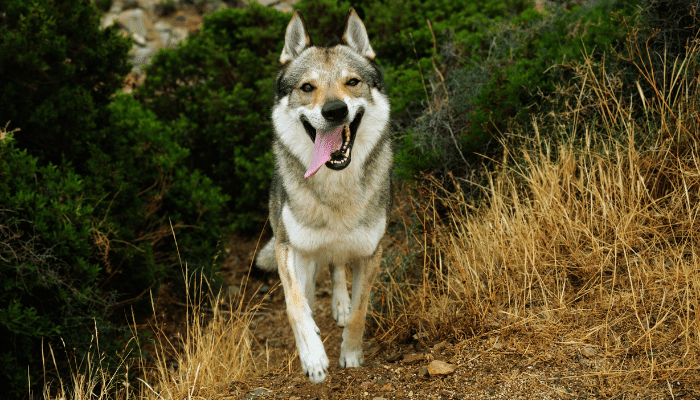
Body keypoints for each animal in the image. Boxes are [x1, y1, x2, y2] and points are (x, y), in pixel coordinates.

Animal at [256, 8, 394, 384]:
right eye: (307, 88)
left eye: (352, 82)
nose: (335, 110)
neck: (336, 191)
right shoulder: (289, 247)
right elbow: (296, 305)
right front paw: (314, 358)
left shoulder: (371, 251)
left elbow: (361, 310)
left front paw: (351, 355)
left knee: (337, 266)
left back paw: (340, 305)